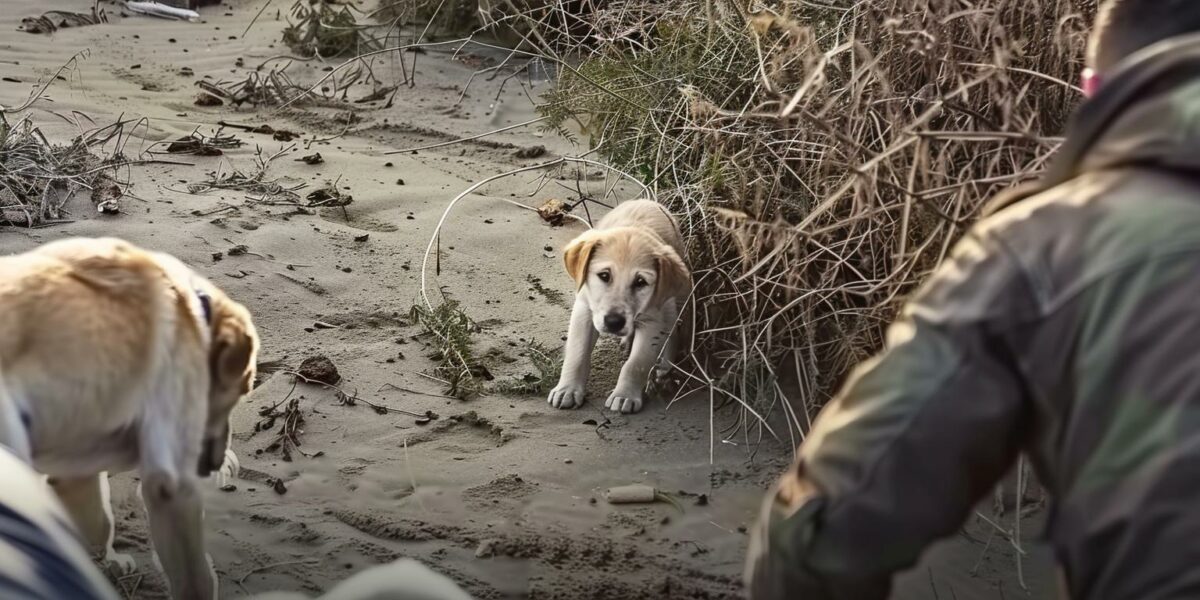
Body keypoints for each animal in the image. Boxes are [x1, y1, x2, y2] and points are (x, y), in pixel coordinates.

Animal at [0, 236, 260, 597]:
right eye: (242, 391)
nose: (215, 463)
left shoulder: (75, 467)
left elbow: (96, 521)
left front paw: (106, 562)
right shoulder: (172, 485)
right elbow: (195, 578)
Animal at [549, 200, 691, 412]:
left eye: (640, 282)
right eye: (604, 275)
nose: (614, 322)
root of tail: (648, 201)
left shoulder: (653, 322)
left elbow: (636, 364)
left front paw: (625, 395)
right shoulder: (584, 309)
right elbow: (577, 353)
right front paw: (568, 389)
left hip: (673, 301)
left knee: (673, 331)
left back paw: (664, 367)